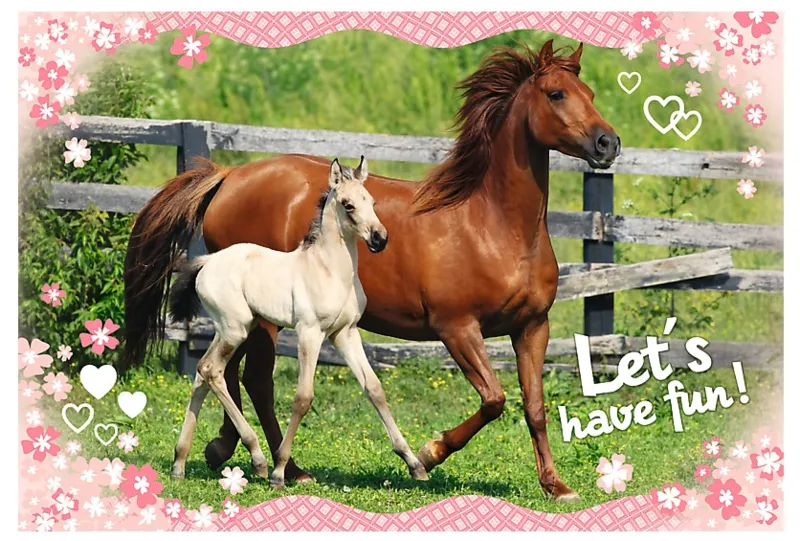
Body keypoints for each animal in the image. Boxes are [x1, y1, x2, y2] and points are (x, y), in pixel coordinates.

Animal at [167, 157, 428, 488]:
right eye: (348, 205)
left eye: (371, 201)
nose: (380, 239)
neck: (329, 270)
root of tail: (207, 262)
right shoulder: (310, 332)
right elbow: (303, 397)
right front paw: (280, 471)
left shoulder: (345, 333)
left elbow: (375, 389)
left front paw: (414, 463)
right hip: (235, 329)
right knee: (212, 371)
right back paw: (258, 460)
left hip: (234, 328)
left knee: (202, 374)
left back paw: (179, 463)